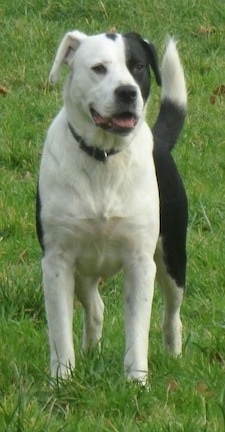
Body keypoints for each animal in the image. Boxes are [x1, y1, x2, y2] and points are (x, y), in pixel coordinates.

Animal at [36, 30, 188, 384]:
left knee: (172, 313)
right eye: (99, 68)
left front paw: (136, 382)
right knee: (95, 309)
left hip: (173, 256)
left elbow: (137, 330)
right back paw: (90, 352)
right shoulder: (57, 262)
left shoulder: (140, 263)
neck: (103, 158)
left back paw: (173, 354)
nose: (127, 92)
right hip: (83, 270)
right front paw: (61, 380)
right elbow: (60, 331)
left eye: (138, 66)